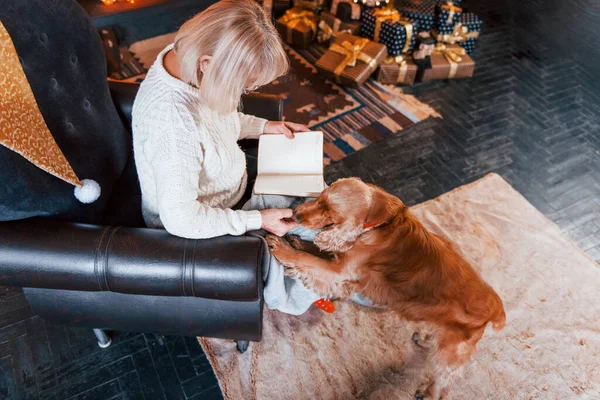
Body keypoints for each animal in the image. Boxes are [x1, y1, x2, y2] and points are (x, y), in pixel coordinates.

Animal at [268, 179, 506, 400]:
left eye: (330, 211)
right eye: (320, 197)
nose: (296, 214)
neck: (380, 221)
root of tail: (497, 308)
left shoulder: (340, 270)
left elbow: (308, 260)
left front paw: (282, 247)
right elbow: (315, 252)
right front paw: (297, 242)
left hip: (453, 349)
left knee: (444, 378)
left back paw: (428, 393)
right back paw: (423, 340)